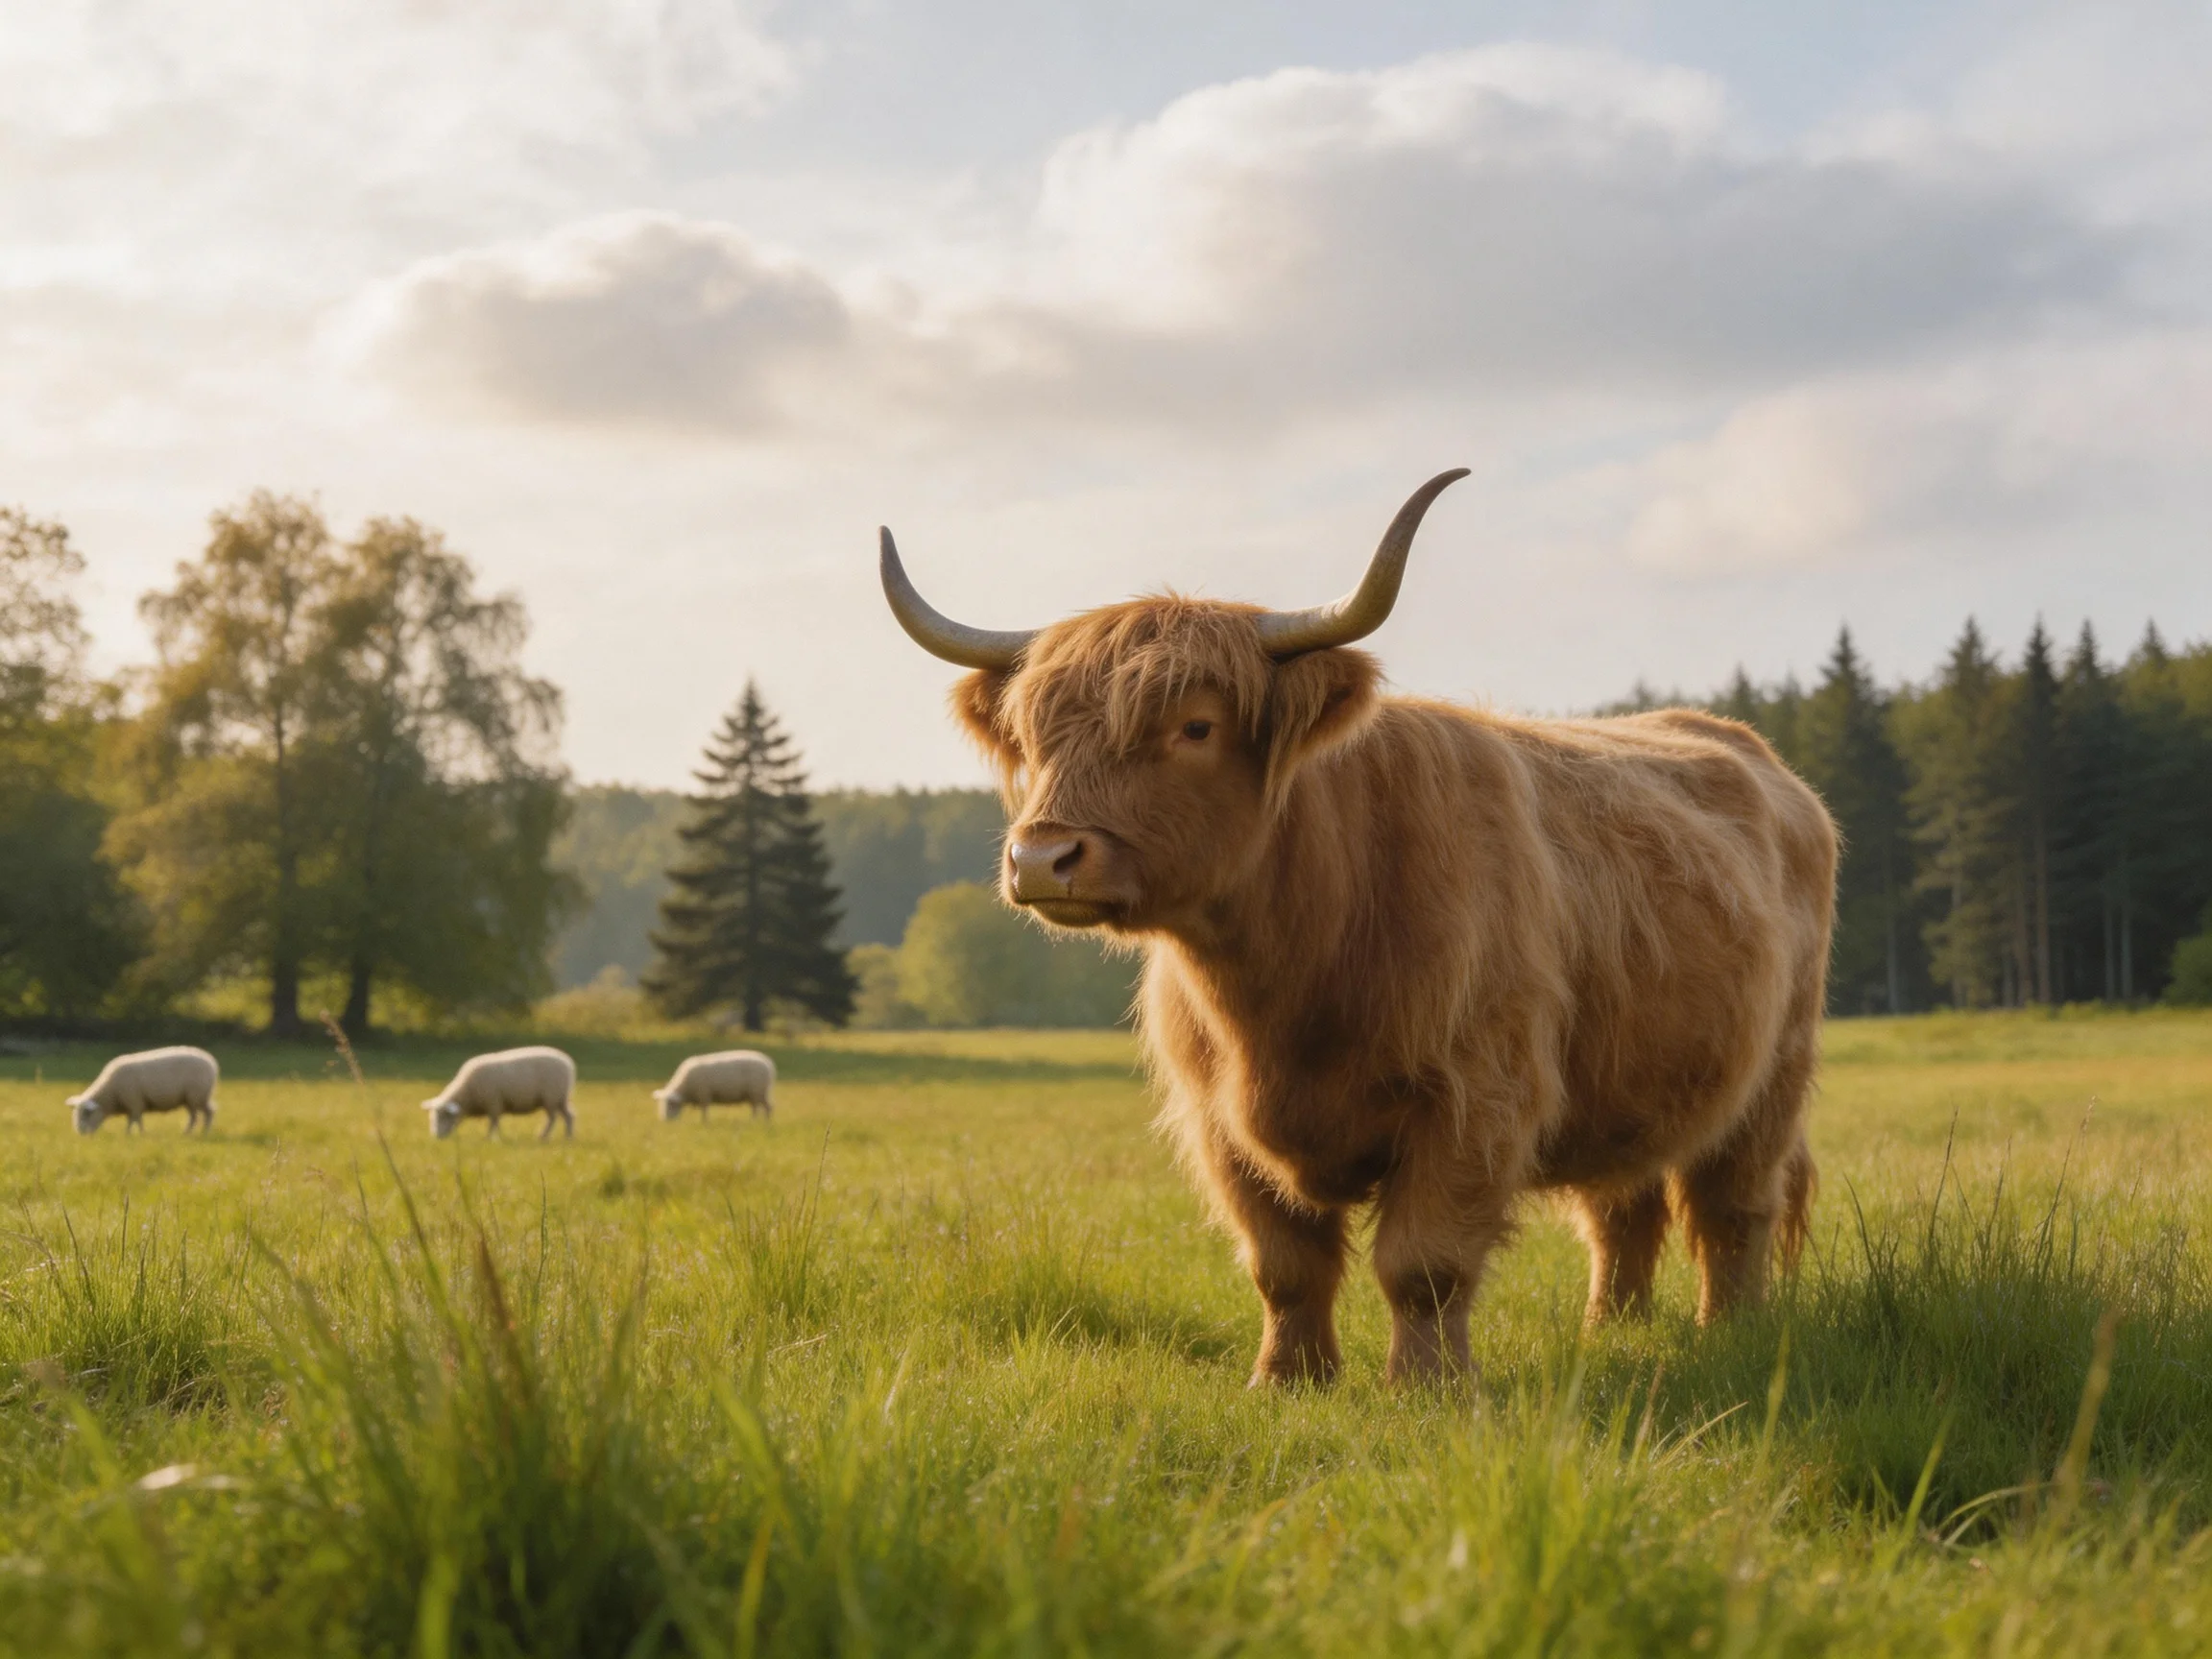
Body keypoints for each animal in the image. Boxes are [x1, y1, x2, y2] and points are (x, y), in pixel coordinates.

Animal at [67, 1046, 221, 1135]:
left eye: (86, 1114)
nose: (80, 1133)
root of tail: (211, 1063)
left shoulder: (134, 1101)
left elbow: (135, 1120)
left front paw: (134, 1134)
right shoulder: (134, 1104)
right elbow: (135, 1120)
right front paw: (135, 1133)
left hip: (196, 1096)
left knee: (202, 1115)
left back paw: (197, 1132)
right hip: (193, 1098)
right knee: (202, 1114)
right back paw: (197, 1132)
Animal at [421, 1046, 576, 1140]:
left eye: (444, 1117)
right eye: (432, 1118)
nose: (436, 1137)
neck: (467, 1093)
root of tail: (567, 1063)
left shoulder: (493, 1102)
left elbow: (493, 1122)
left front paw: (490, 1138)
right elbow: (495, 1121)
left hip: (551, 1097)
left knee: (552, 1118)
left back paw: (543, 1136)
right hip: (560, 1098)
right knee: (569, 1116)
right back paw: (568, 1137)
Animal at [879, 470, 1836, 1386]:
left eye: (1195, 726)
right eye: (1033, 736)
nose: (1043, 857)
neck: (1287, 980)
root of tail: (1757, 758)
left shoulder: (1476, 1097)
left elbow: (1424, 1265)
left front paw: (1427, 1389)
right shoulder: (1219, 1124)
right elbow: (1284, 1266)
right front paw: (1287, 1380)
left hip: (1773, 1076)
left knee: (1732, 1209)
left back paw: (1730, 1334)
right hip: (1626, 1085)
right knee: (1620, 1209)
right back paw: (1611, 1333)